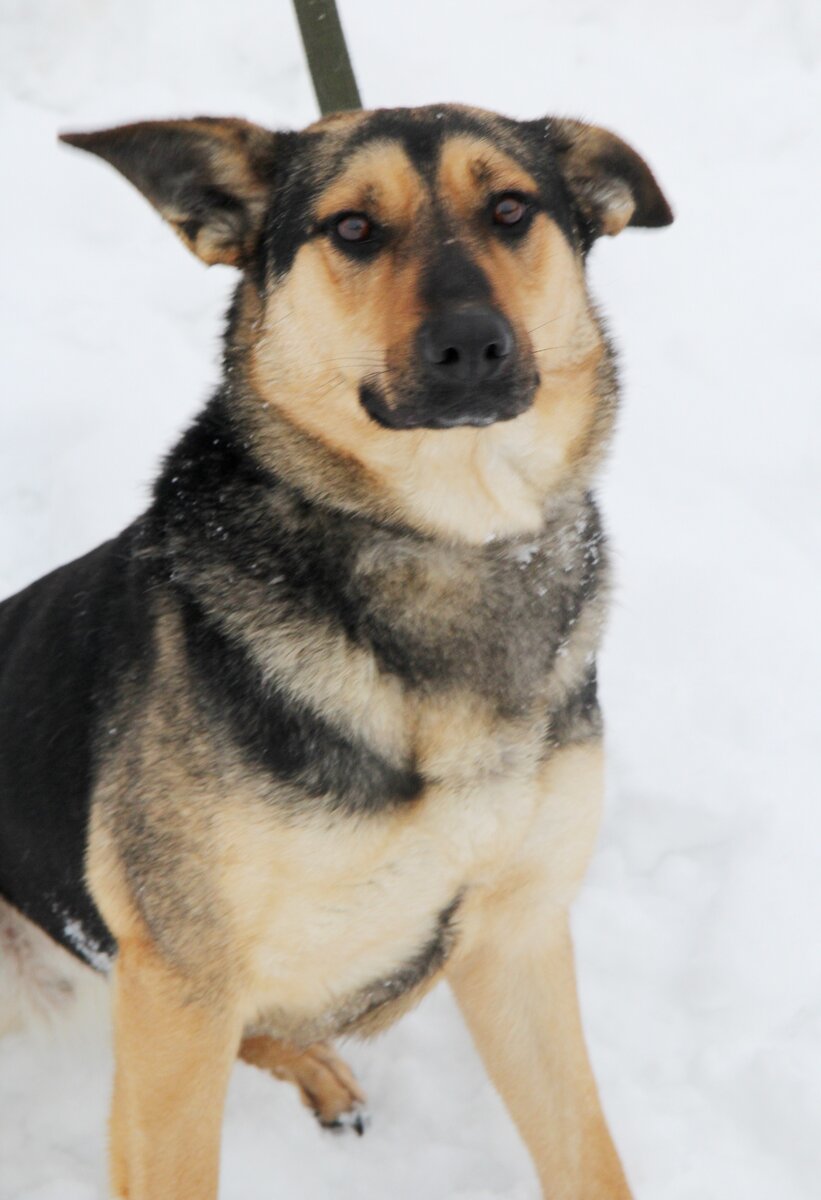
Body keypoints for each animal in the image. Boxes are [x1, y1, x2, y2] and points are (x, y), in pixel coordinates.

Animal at [0, 105, 672, 1200]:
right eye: (352, 229)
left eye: (510, 209)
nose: (469, 345)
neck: (447, 540)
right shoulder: (180, 974)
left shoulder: (516, 936)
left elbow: (583, 1150)